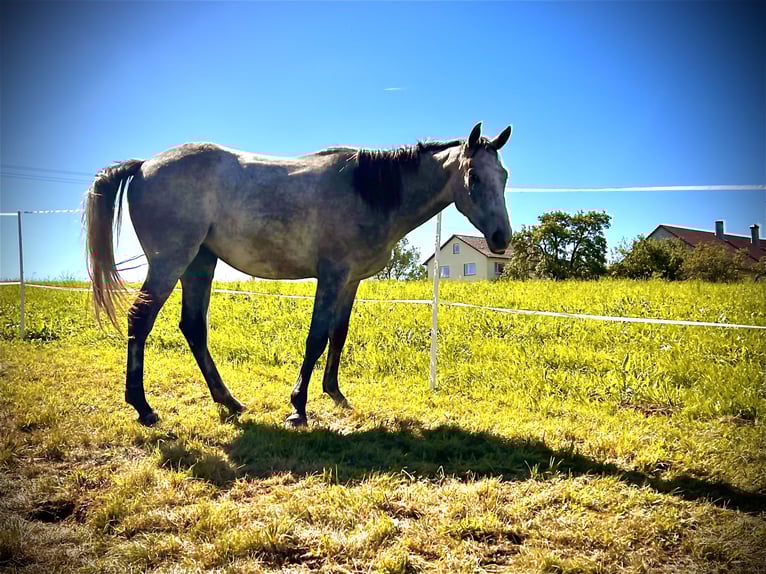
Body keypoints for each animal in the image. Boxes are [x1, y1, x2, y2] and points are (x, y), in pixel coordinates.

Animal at [85, 122, 512, 427]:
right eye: (474, 177)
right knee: (141, 319)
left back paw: (229, 401)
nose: (501, 238)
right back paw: (143, 407)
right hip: (170, 262)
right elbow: (316, 338)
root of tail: (143, 166)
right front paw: (298, 407)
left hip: (200, 263)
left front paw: (335, 394)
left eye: (504, 176)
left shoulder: (351, 280)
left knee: (193, 327)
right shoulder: (332, 276)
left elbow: (339, 335)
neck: (369, 191)